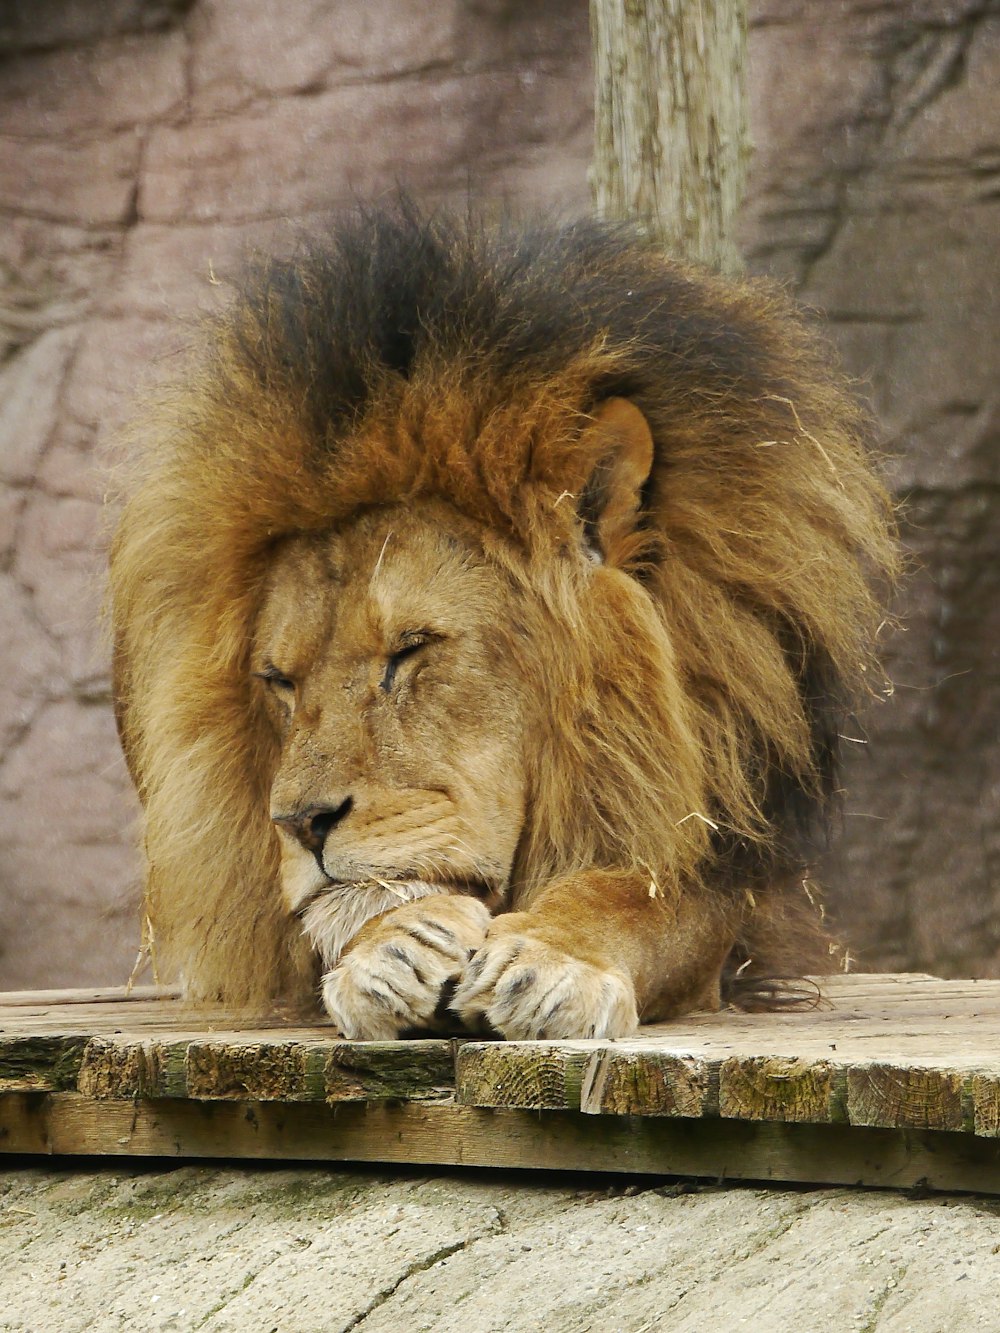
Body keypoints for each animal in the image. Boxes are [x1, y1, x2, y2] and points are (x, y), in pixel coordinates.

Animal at [109, 205, 901, 1039]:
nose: (300, 822)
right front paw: (392, 944)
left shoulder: (717, 865)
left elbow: (638, 900)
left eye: (410, 649)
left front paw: (555, 960)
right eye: (279, 680)